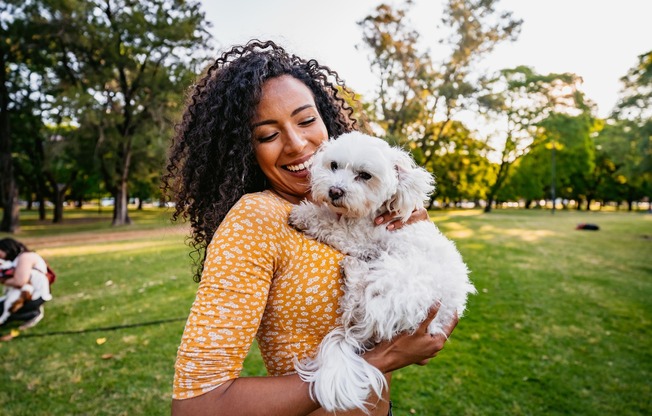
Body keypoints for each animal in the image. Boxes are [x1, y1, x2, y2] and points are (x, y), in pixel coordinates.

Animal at [290, 132, 474, 412]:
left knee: (357, 306)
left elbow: (332, 226)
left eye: (365, 175)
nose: (335, 191)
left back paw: (354, 271)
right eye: (333, 165)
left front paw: (305, 214)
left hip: (397, 278)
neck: (370, 214)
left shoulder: (361, 238)